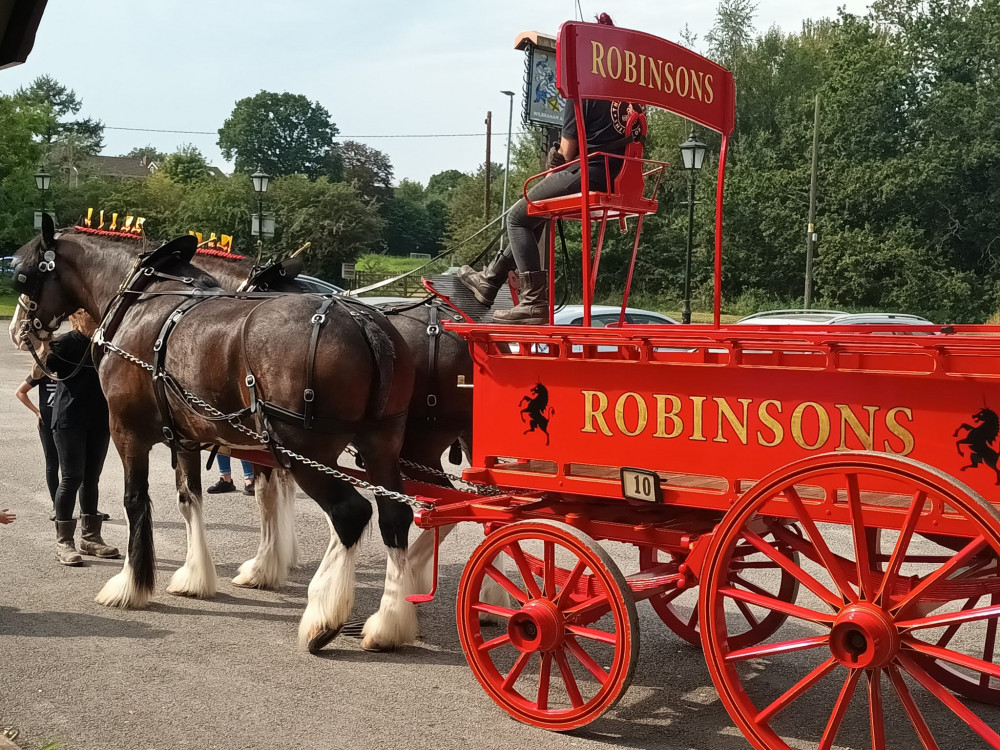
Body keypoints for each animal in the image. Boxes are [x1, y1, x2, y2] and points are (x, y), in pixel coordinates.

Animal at [12, 216, 418, 652]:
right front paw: (196, 576)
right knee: (395, 516)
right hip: (381, 444)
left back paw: (322, 618)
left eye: (21, 275)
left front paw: (131, 585)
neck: (141, 300)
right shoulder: (186, 437)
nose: (18, 332)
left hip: (305, 451)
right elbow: (190, 499)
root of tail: (363, 321)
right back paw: (388, 624)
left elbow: (135, 501)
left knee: (349, 514)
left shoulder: (126, 431)